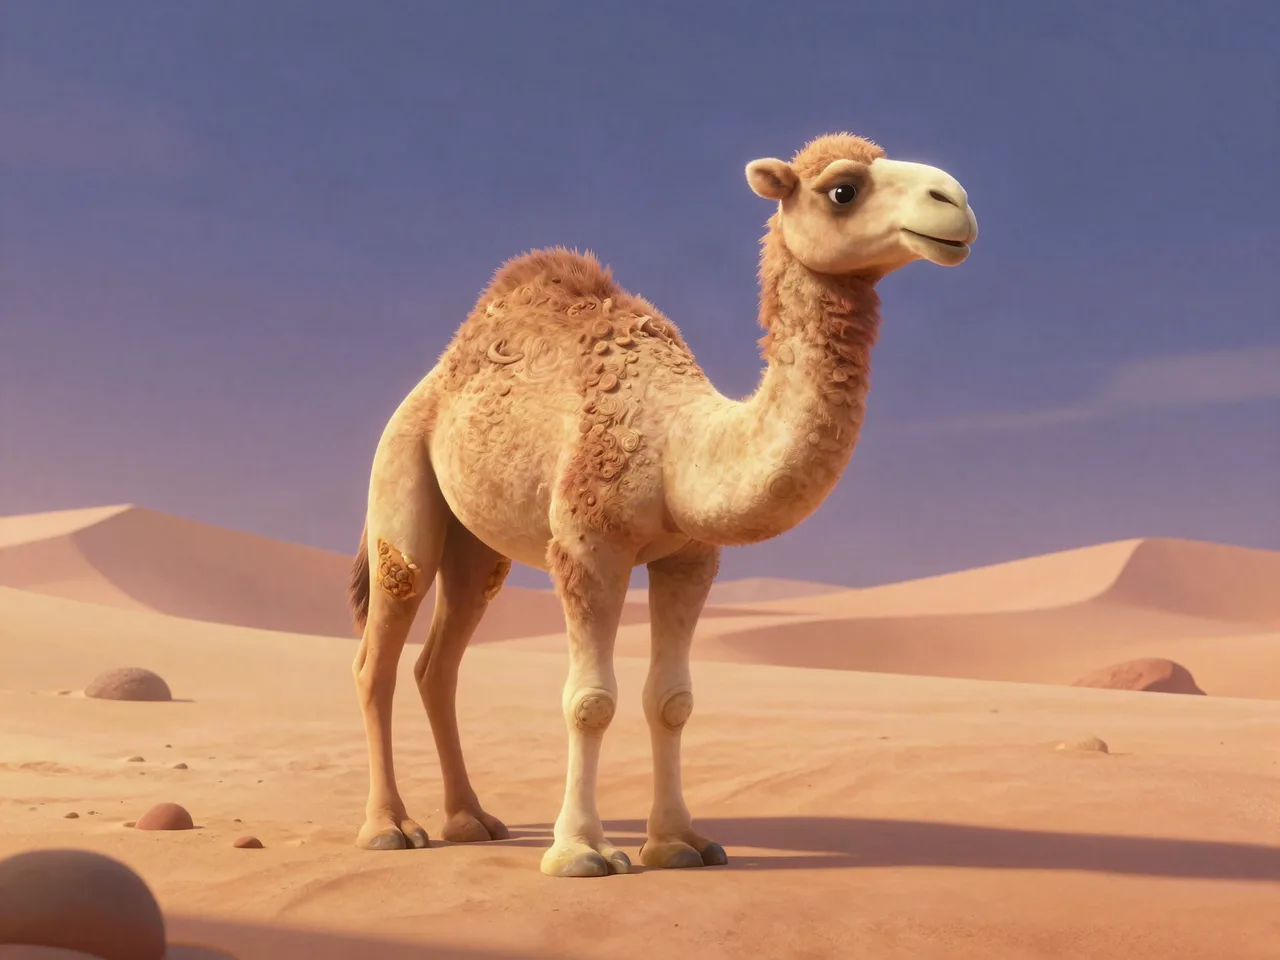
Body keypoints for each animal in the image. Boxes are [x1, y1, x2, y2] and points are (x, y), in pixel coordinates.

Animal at [348, 132, 978, 877]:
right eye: (842, 190)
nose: (956, 201)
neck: (681, 445)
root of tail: (429, 383)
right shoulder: (588, 546)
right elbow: (590, 701)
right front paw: (581, 851)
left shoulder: (691, 557)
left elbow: (672, 701)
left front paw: (679, 842)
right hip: (400, 471)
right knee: (380, 653)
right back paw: (389, 827)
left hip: (476, 547)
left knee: (438, 664)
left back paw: (471, 819)